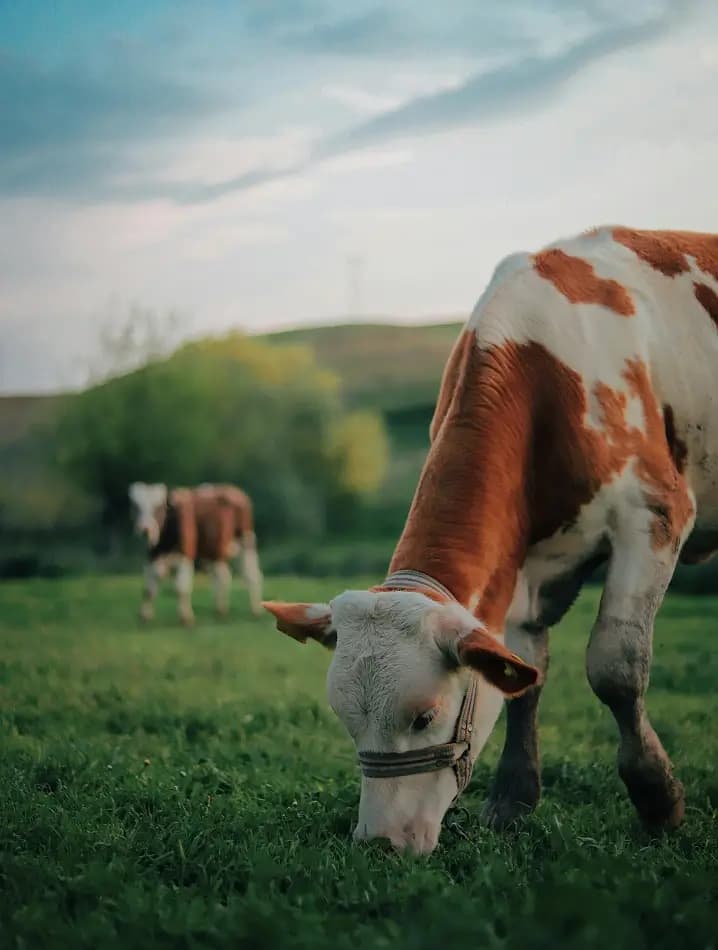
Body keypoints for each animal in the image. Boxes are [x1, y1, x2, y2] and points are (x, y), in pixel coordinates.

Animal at [128, 482, 262, 624]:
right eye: (136, 507)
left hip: (246, 541)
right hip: (215, 552)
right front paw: (144, 616)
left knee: (252, 576)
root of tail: (232, 489)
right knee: (223, 576)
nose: (145, 529)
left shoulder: (186, 555)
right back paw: (220, 610)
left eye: (159, 507)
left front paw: (186, 618)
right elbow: (149, 588)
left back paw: (255, 610)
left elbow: (181, 587)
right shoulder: (152, 556)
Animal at [264, 227, 718, 854]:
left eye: (424, 716)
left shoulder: (654, 513)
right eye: (346, 719)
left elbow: (616, 668)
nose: (379, 843)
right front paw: (512, 801)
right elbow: (526, 677)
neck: (548, 370)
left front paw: (658, 799)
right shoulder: (522, 566)